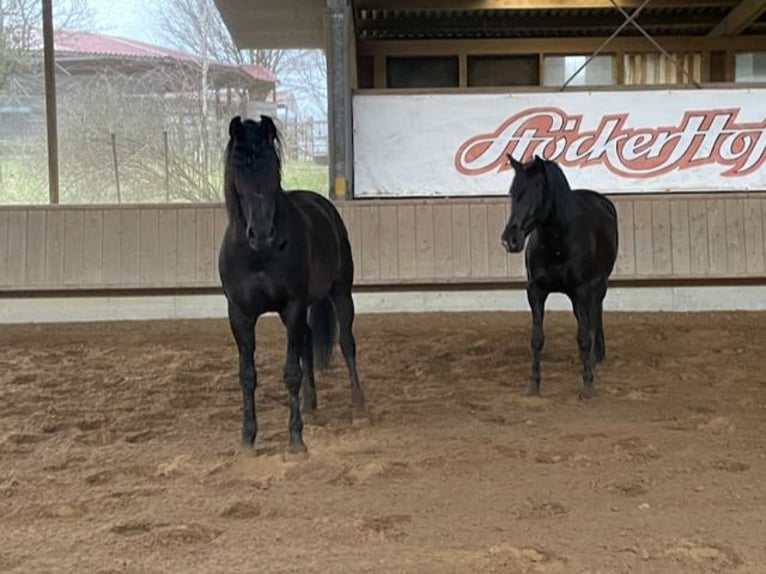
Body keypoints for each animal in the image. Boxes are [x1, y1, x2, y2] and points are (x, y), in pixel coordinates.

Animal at [218, 114, 365, 453]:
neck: (258, 255)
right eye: (238, 168)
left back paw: (359, 408)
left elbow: (291, 373)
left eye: (273, 165)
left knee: (346, 343)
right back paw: (311, 406)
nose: (261, 233)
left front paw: (296, 441)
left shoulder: (293, 306)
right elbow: (247, 375)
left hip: (340, 293)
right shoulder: (239, 314)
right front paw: (247, 438)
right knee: (308, 341)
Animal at [500, 155, 618, 399]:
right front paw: (533, 385)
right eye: (513, 193)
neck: (558, 243)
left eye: (537, 193)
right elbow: (537, 338)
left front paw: (587, 385)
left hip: (598, 286)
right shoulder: (536, 291)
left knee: (593, 321)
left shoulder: (582, 291)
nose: (510, 239)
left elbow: (584, 337)